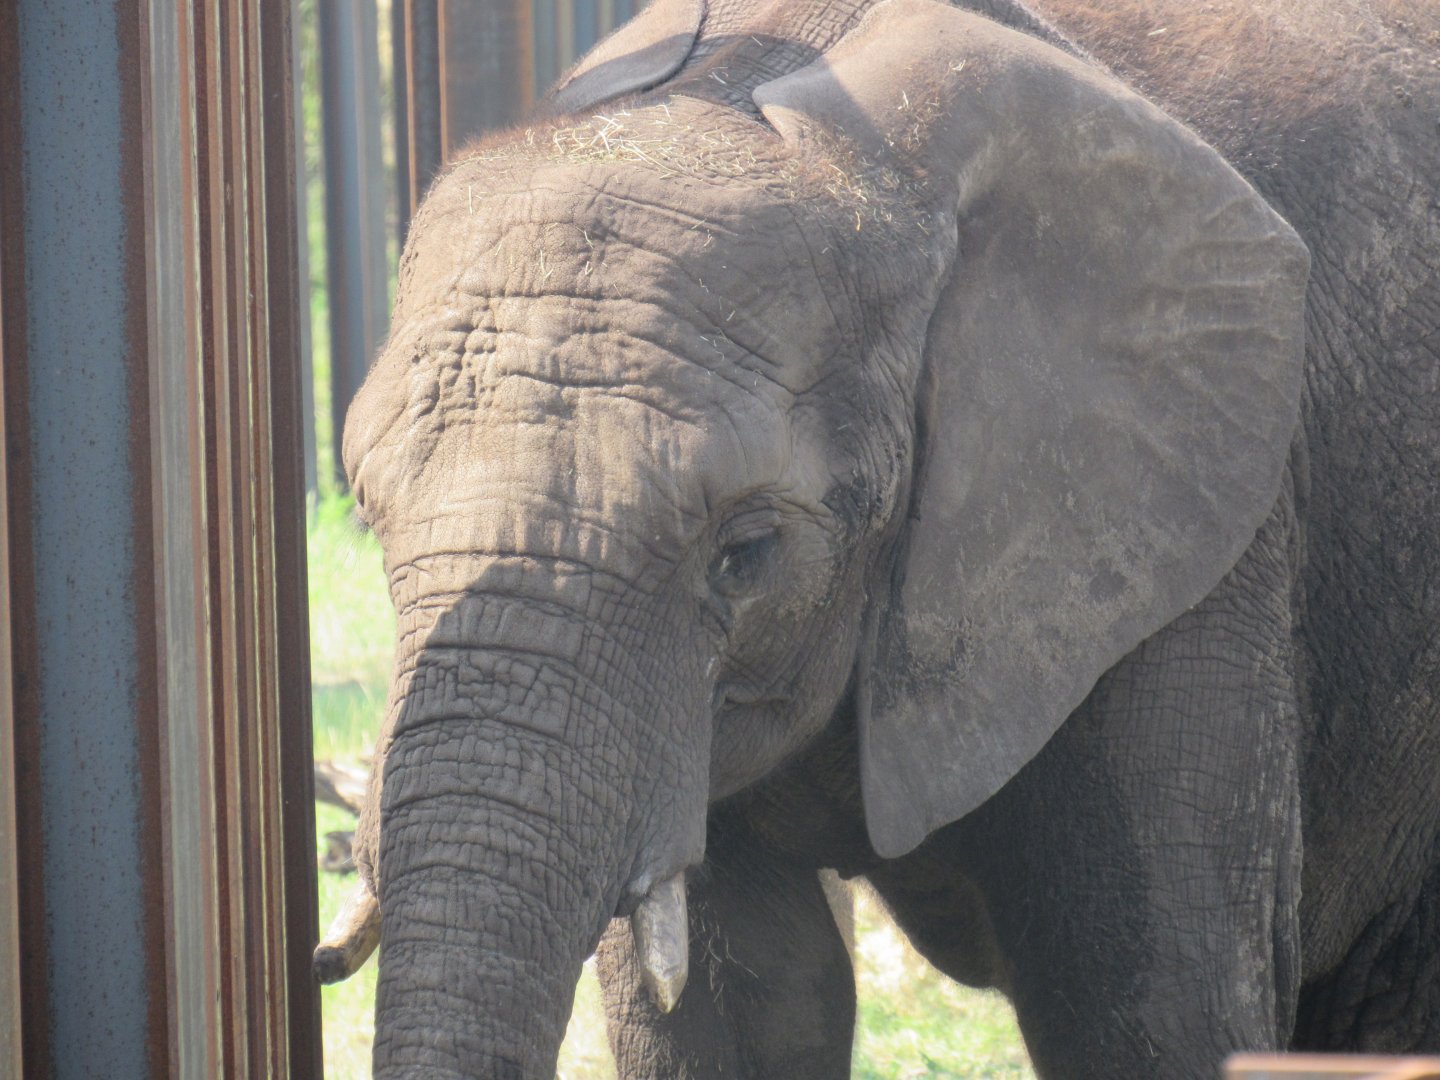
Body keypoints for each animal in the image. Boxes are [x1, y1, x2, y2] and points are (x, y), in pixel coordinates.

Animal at [312, 0, 1440, 1076]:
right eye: (370, 513)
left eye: (746, 552)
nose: (326, 955)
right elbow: (739, 1019)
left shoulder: (1188, 529)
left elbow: (1146, 1011)